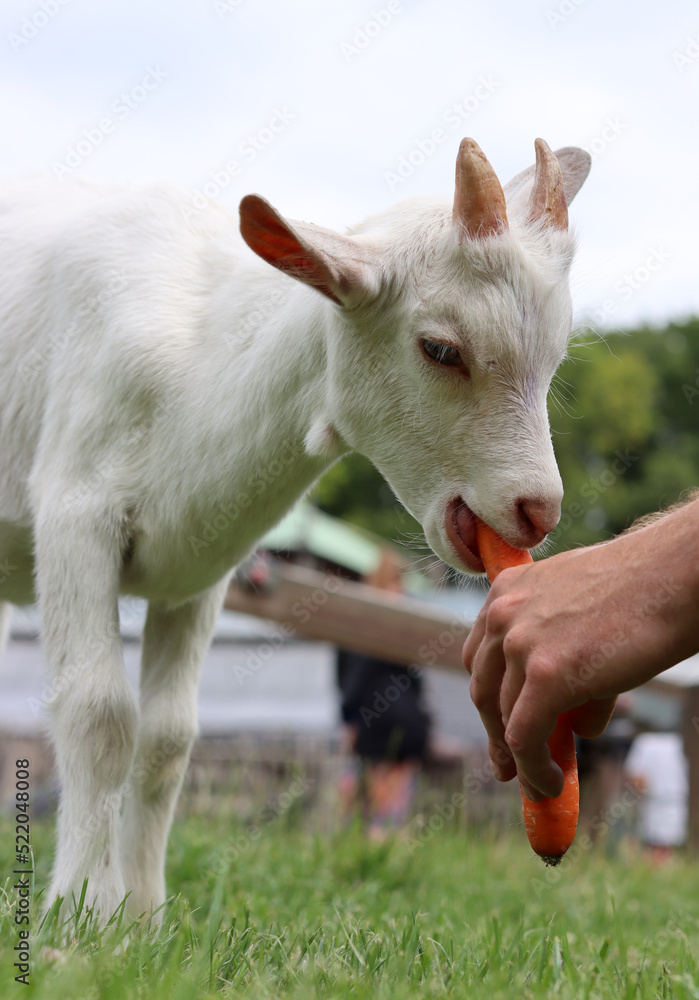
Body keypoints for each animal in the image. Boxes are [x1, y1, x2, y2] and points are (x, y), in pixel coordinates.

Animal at [0, 137, 590, 922]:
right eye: (439, 348)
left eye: (555, 357)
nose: (537, 509)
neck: (196, 378)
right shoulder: (74, 513)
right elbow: (99, 717)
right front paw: (79, 915)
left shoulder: (200, 568)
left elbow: (167, 738)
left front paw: (144, 919)